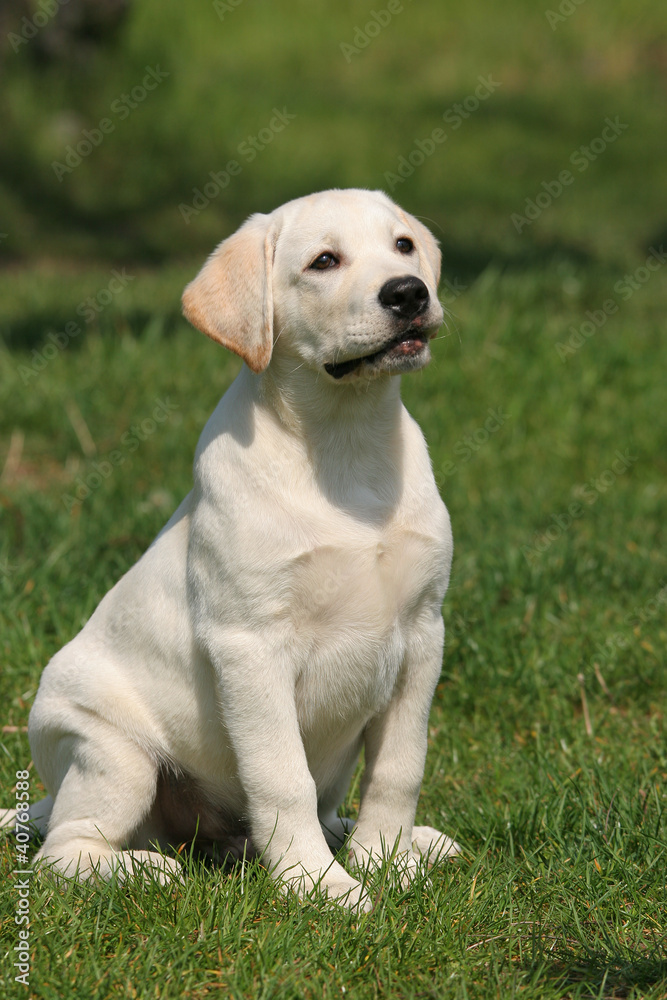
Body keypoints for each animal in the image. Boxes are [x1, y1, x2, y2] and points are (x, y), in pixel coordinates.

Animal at [18, 186, 460, 908]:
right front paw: (319, 886)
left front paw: (388, 859)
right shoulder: (250, 647)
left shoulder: (422, 633)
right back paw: (149, 871)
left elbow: (399, 766)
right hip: (107, 750)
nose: (408, 293)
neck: (345, 442)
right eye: (324, 261)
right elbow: (282, 778)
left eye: (403, 246)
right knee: (63, 853)